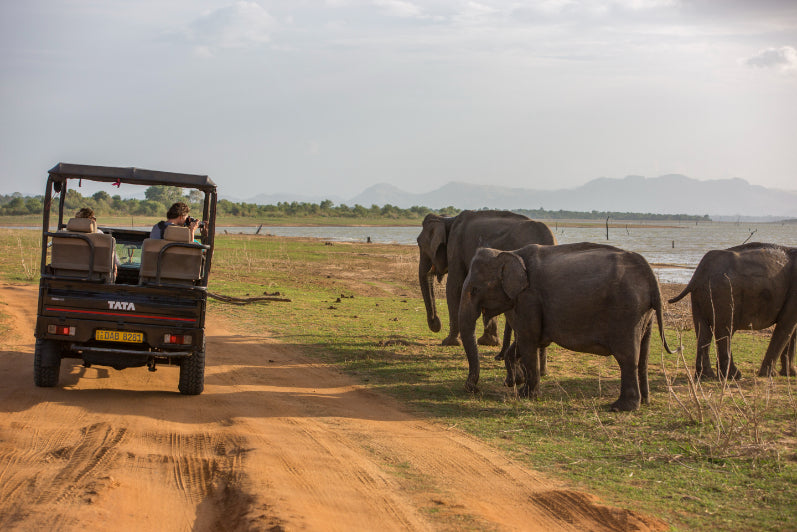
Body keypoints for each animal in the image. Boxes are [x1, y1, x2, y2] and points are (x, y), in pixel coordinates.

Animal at [417, 210, 556, 348]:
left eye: (419, 243)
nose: (436, 324)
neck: (448, 219)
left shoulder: (455, 247)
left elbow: (454, 287)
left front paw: (449, 342)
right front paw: (488, 342)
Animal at [459, 243, 675, 412]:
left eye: (475, 289)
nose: (473, 389)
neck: (510, 252)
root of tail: (649, 273)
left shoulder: (529, 298)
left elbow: (529, 341)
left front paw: (526, 395)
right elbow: (528, 341)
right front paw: (514, 382)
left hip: (627, 312)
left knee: (627, 357)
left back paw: (620, 407)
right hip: (645, 313)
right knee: (643, 355)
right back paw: (645, 402)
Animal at [667, 242, 797, 380]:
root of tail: (700, 271)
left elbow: (792, 330)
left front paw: (790, 373)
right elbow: (786, 326)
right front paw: (769, 375)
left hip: (700, 297)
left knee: (704, 331)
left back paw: (706, 376)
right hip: (724, 294)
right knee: (726, 331)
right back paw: (733, 375)